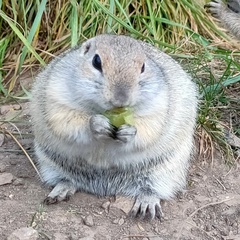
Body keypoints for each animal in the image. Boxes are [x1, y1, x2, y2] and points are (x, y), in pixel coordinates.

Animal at [31, 34, 198, 219]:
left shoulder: (160, 105)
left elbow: (150, 127)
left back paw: (147, 203)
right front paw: (96, 124)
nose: (121, 99)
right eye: (96, 61)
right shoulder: (56, 95)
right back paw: (60, 191)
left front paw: (130, 132)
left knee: (152, 189)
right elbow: (65, 120)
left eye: (143, 67)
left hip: (165, 172)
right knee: (67, 180)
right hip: (50, 163)